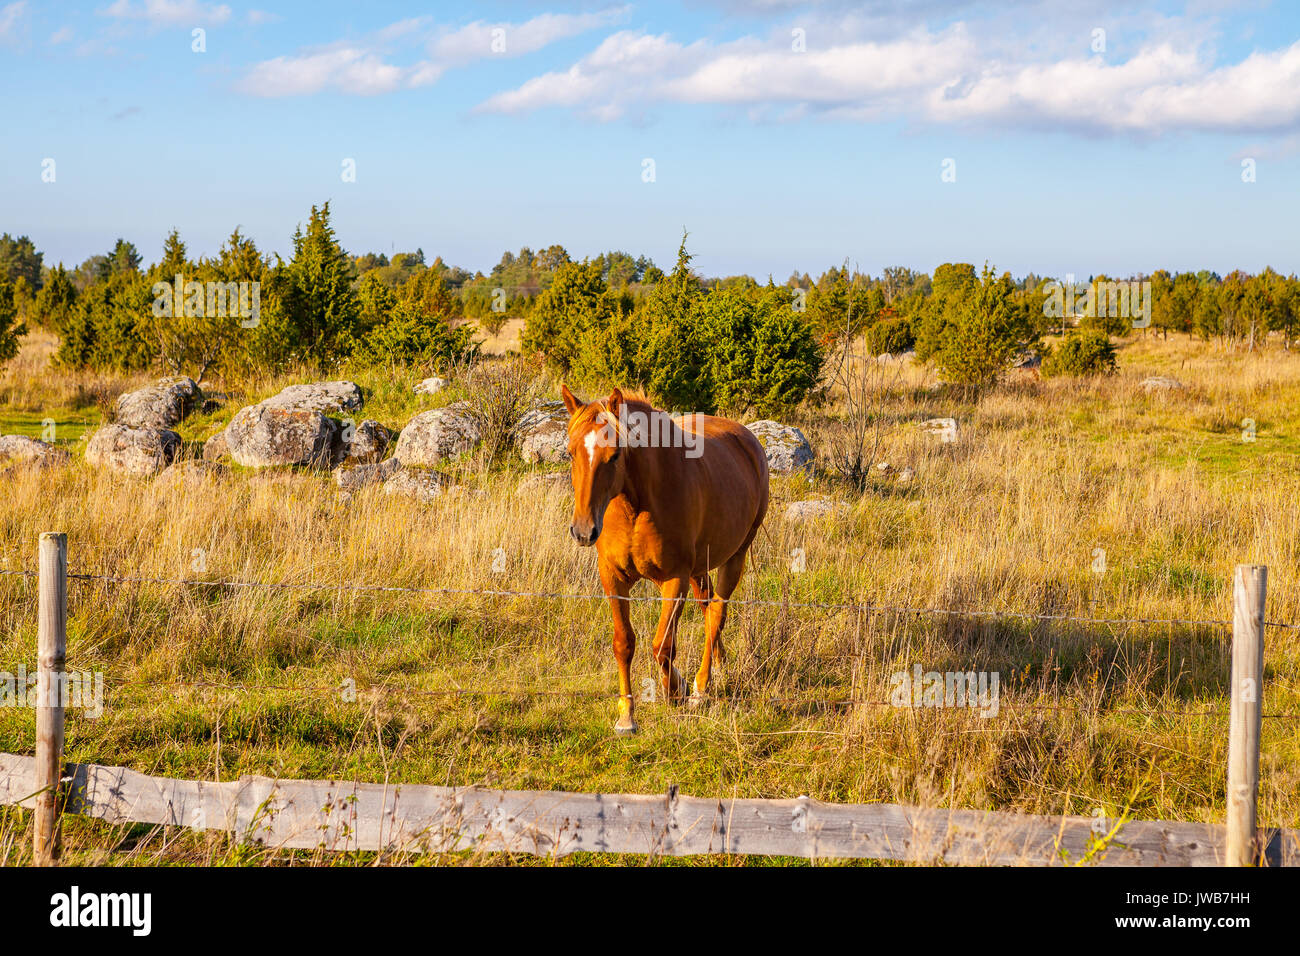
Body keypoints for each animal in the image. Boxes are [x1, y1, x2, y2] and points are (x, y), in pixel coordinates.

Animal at [560, 384, 769, 735]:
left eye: (614, 455)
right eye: (571, 453)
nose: (583, 531)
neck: (635, 506)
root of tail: (747, 438)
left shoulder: (675, 580)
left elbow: (663, 645)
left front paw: (677, 691)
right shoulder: (612, 577)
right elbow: (624, 642)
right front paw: (626, 717)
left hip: (735, 556)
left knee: (717, 612)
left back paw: (701, 687)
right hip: (701, 568)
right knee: (708, 607)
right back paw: (719, 666)